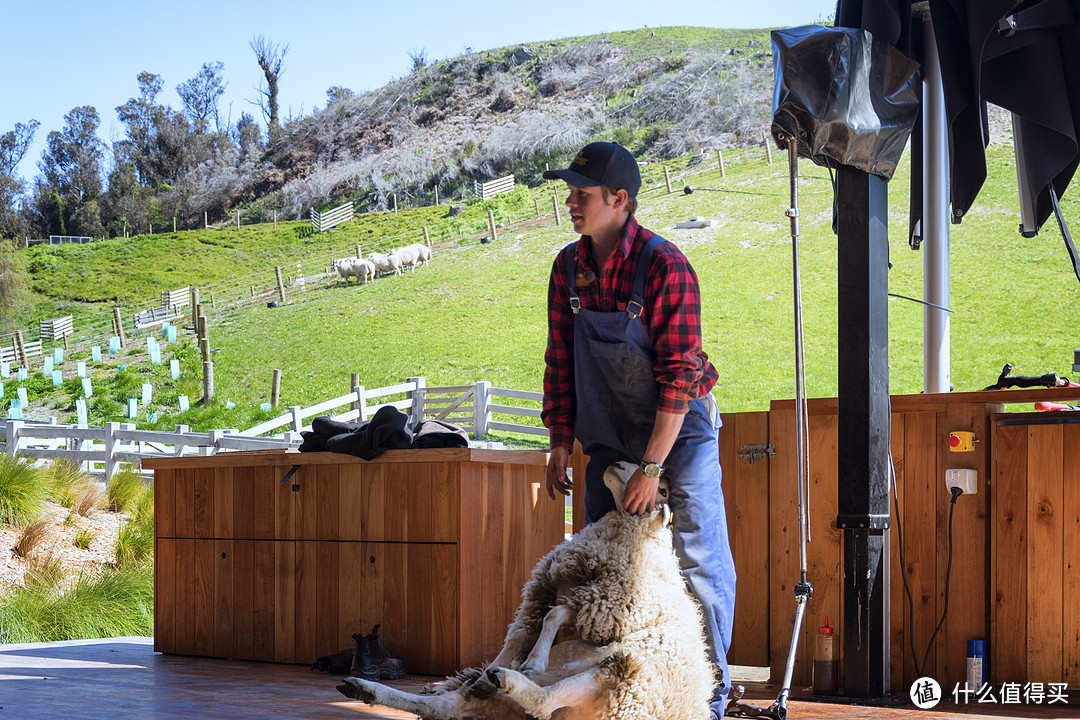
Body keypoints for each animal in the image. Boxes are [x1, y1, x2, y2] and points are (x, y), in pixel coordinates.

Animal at [339, 462, 717, 720]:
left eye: (662, 491)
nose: (617, 464)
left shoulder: (604, 607)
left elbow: (556, 614)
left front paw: (532, 661)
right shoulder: (543, 590)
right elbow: (519, 634)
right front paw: (504, 663)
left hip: (624, 674)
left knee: (545, 699)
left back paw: (510, 677)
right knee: (446, 706)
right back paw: (368, 688)